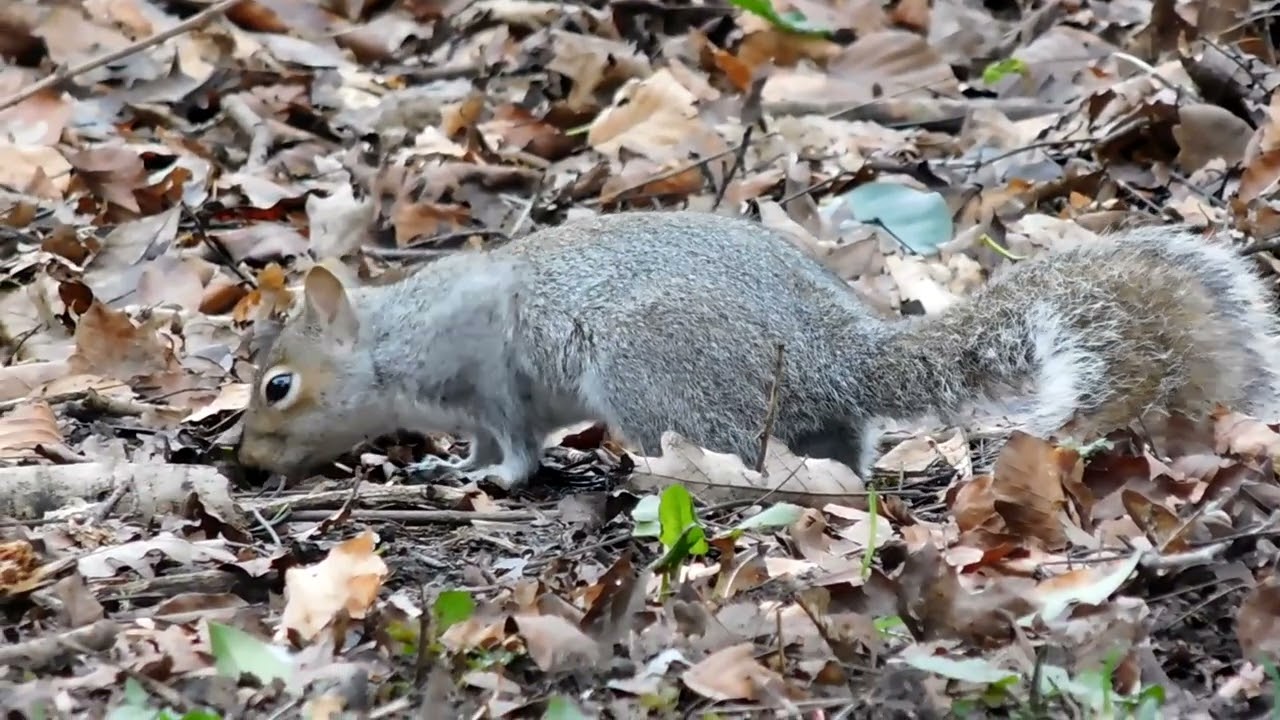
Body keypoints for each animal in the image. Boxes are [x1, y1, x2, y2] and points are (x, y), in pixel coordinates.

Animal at [236, 210, 1280, 489]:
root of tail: (838, 355)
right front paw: (456, 469)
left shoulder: (491, 370)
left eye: (278, 385)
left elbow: (514, 443)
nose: (244, 461)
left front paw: (491, 479)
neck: (391, 336)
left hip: (652, 366)